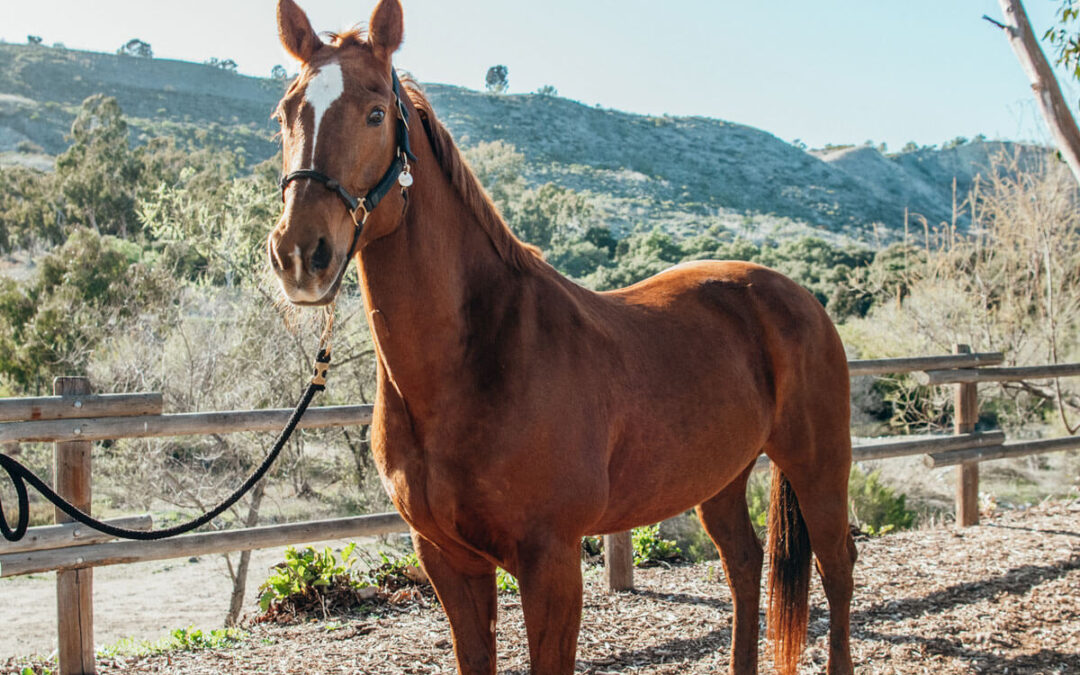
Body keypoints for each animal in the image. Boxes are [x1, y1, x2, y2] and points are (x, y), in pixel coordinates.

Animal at [267, 1, 856, 672]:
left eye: (375, 114)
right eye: (285, 114)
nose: (300, 254)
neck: (476, 361)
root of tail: (795, 295)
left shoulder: (551, 560)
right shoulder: (446, 561)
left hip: (818, 463)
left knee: (837, 568)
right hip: (721, 478)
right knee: (745, 563)